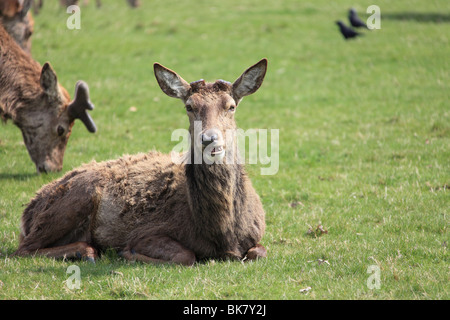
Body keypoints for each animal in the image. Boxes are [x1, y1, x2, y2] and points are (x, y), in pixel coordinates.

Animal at [14, 58, 268, 264]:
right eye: (189, 106)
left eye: (231, 106)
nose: (209, 139)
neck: (223, 234)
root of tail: (28, 212)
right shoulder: (148, 231)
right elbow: (185, 255)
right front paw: (128, 253)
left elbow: (259, 252)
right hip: (75, 199)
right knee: (23, 249)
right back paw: (87, 251)